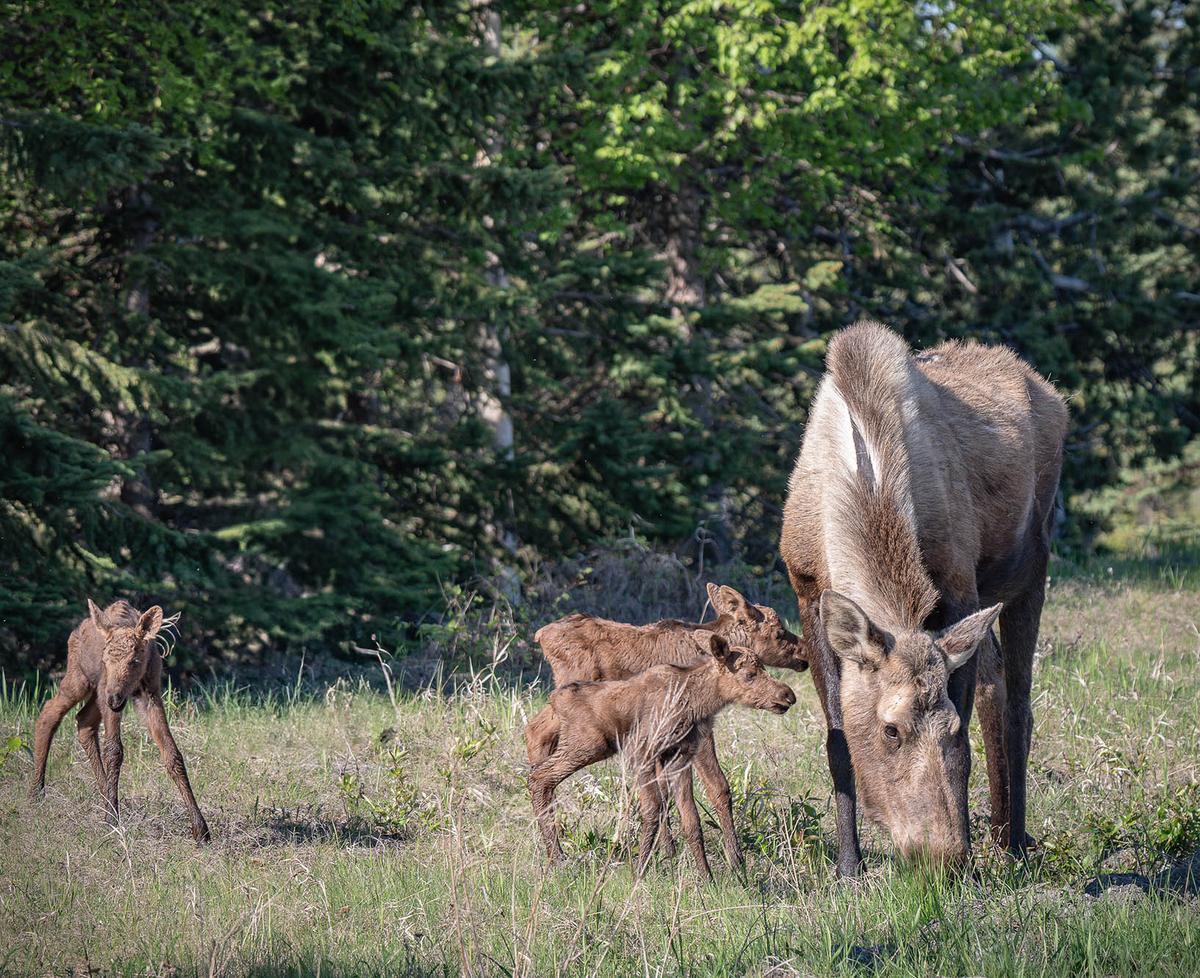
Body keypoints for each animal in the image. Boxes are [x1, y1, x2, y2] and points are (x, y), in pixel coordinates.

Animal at [30, 599, 211, 842]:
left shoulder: (151, 694)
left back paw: (105, 797)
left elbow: (172, 755)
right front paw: (111, 820)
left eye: (134, 661)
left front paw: (200, 829)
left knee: (83, 721)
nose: (114, 698)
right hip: (82, 681)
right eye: (106, 660)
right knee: (49, 713)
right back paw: (36, 792)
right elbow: (114, 751)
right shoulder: (108, 694)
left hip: (97, 694)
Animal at [533, 582, 808, 868]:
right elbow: (718, 787)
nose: (805, 650)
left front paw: (667, 851)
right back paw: (556, 851)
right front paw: (735, 858)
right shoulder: (697, 731)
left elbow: (666, 794)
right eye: (779, 633)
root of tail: (540, 634)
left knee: (535, 730)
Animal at [781, 321, 1067, 876]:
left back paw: (1014, 841)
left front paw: (968, 855)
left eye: (947, 726)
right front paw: (849, 865)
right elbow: (837, 741)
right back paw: (1000, 830)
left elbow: (967, 741)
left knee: (1019, 705)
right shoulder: (805, 587)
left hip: (1031, 564)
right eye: (890, 729)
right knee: (996, 685)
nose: (942, 855)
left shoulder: (958, 587)